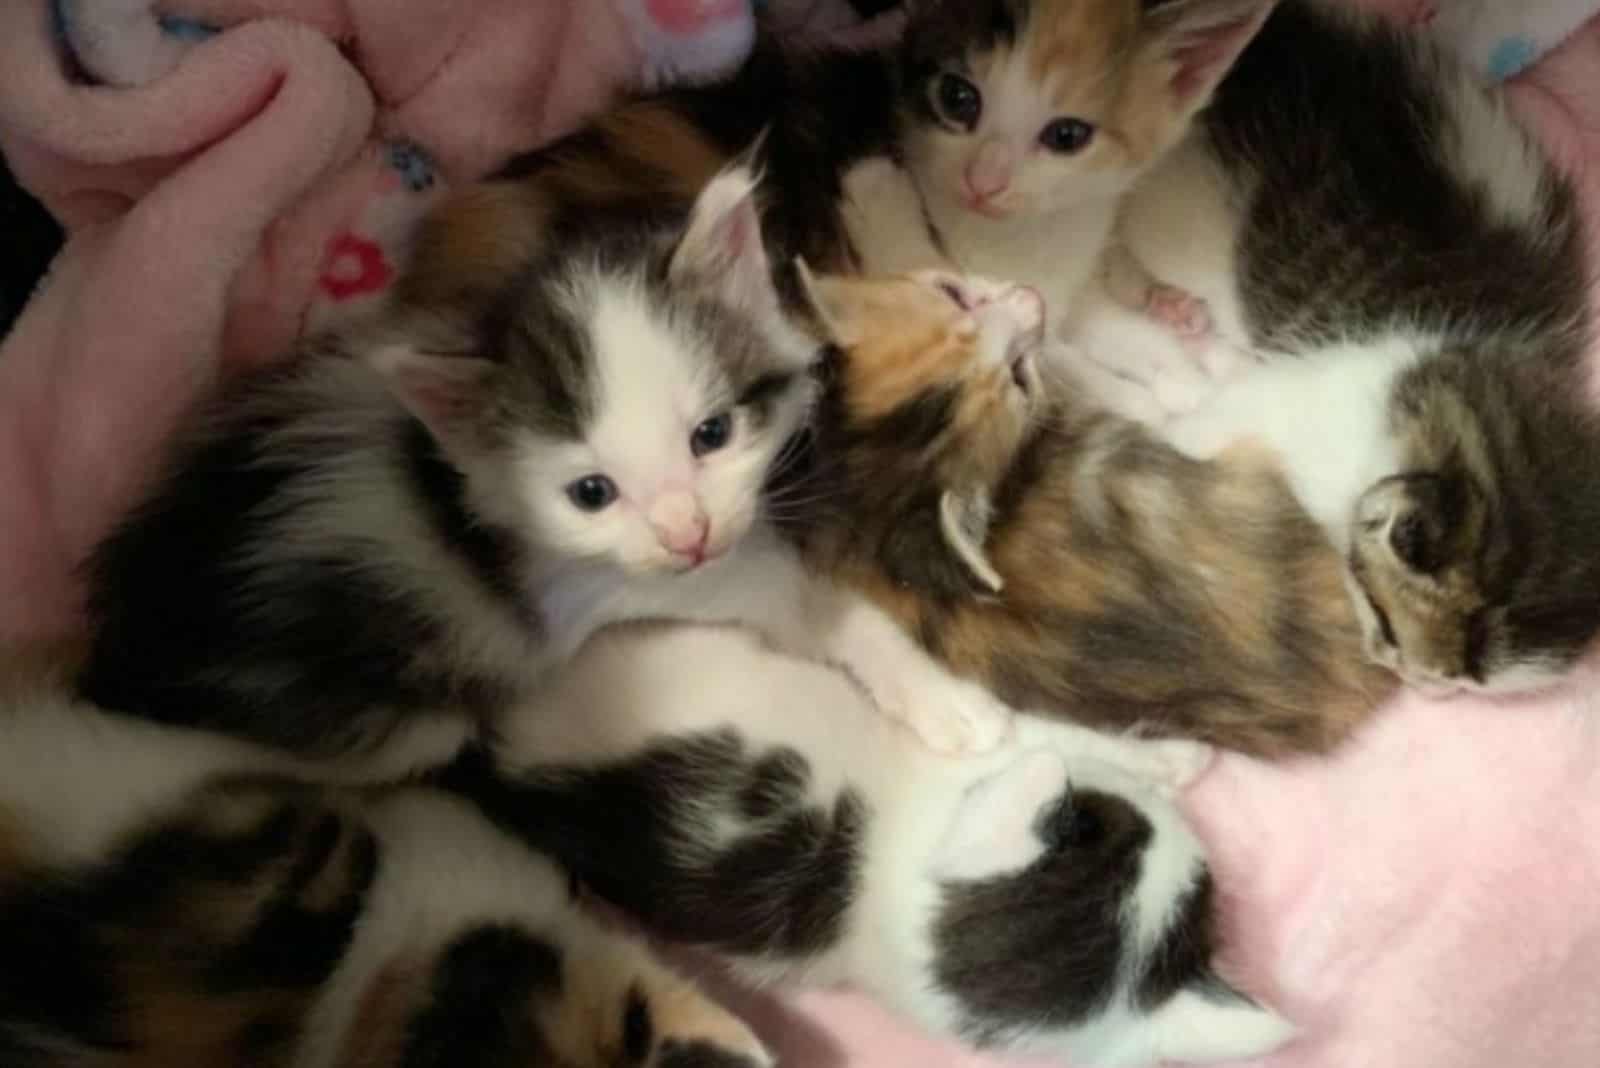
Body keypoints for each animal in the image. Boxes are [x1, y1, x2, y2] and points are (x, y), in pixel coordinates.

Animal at [1062, 0, 1600, 697]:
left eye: (1470, 687)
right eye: (1392, 625)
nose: (1424, 685)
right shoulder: (1296, 395)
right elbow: (1188, 424)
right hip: (1173, 204)